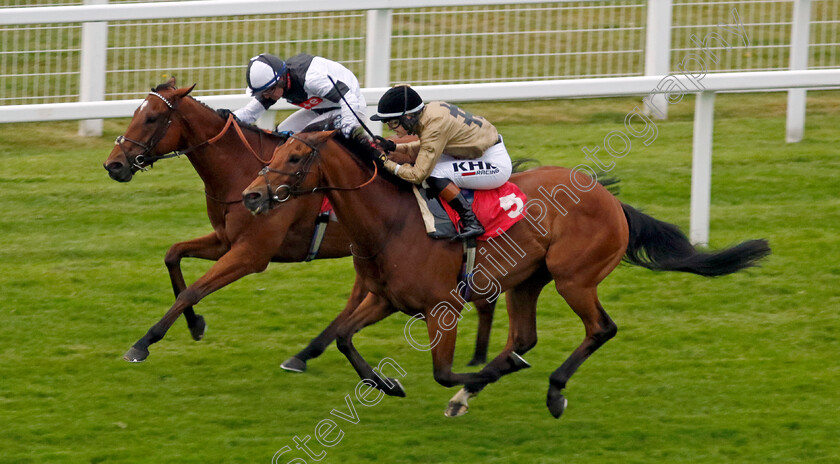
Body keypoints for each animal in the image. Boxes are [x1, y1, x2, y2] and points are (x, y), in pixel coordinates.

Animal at [104, 79, 498, 370]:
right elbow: (173, 255)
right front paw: (194, 324)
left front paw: (143, 343)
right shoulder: (225, 240)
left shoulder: (251, 254)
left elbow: (193, 290)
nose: (114, 165)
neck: (242, 170)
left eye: (152, 118)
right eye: (135, 113)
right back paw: (305, 353)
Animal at [240, 130, 772, 416]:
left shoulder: (442, 308)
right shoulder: (383, 298)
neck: (390, 223)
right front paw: (388, 384)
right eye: (273, 154)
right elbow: (345, 338)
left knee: (600, 328)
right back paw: (491, 381)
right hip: (527, 281)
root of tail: (610, 200)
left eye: (293, 157)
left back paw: (550, 390)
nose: (251, 195)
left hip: (573, 277)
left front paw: (468, 380)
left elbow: (442, 371)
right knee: (525, 336)